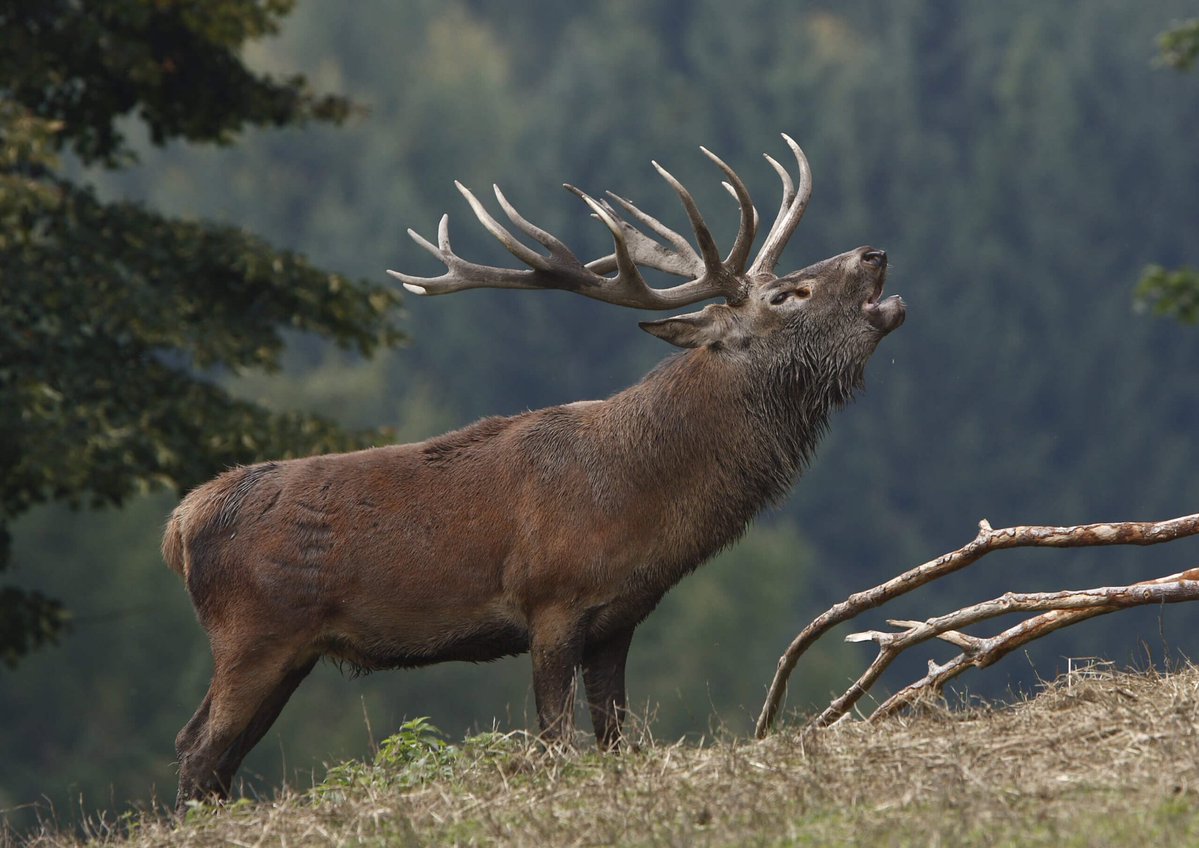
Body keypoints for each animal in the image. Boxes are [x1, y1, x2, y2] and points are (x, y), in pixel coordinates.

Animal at [163, 134, 905, 810]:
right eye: (786, 295)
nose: (874, 253)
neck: (642, 498)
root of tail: (179, 525)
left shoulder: (618, 618)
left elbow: (614, 739)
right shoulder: (550, 601)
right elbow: (553, 740)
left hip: (291, 649)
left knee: (217, 755)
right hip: (253, 632)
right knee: (197, 748)